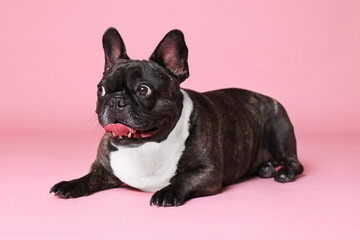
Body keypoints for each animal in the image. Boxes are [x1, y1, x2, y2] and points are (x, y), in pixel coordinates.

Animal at [50, 27, 304, 206]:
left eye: (143, 89)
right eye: (101, 90)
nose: (116, 100)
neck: (146, 147)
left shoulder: (208, 173)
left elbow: (183, 179)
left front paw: (168, 192)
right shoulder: (102, 169)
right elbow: (88, 177)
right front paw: (70, 184)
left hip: (278, 127)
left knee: (295, 163)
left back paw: (283, 172)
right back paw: (266, 168)